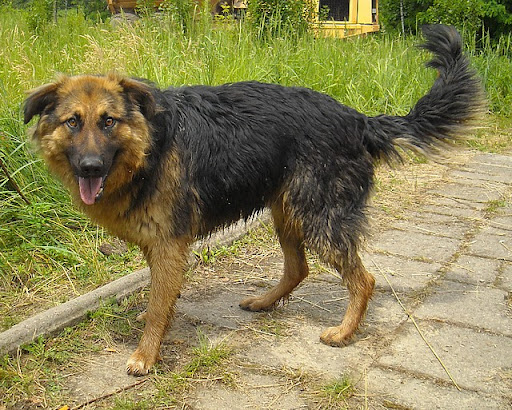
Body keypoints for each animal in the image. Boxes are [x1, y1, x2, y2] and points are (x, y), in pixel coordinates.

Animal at [24, 25, 484, 375]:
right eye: (72, 122)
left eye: (108, 122)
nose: (89, 167)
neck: (147, 148)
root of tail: (357, 119)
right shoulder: (159, 244)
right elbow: (160, 297)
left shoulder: (170, 243)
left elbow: (158, 305)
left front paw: (145, 355)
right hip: (287, 212)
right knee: (298, 269)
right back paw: (264, 302)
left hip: (320, 218)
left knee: (363, 279)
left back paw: (343, 332)